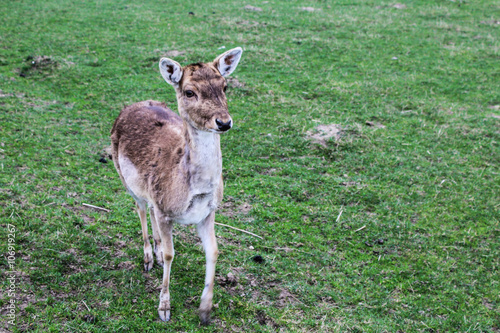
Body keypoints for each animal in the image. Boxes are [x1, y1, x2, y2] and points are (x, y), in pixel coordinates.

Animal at [110, 47, 243, 324]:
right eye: (189, 92)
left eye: (224, 86)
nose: (224, 122)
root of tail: (131, 105)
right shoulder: (165, 210)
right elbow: (173, 254)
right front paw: (164, 308)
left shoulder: (208, 212)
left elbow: (214, 251)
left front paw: (205, 310)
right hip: (124, 177)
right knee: (141, 209)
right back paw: (149, 257)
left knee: (149, 209)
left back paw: (157, 251)